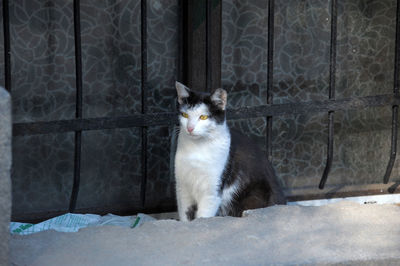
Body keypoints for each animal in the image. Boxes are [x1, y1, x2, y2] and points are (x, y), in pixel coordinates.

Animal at [174, 81, 284, 222]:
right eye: (185, 115)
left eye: (203, 117)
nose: (190, 128)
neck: (197, 148)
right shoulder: (182, 188)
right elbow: (185, 216)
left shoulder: (212, 190)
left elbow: (203, 216)